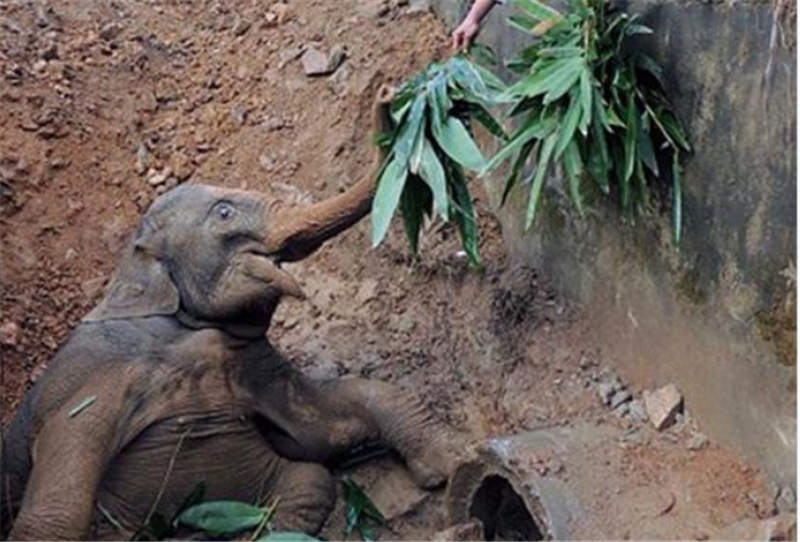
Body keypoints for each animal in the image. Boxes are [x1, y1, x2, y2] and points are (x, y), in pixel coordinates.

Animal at [0, 87, 454, 540]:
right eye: (224, 212)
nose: (390, 94)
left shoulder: (255, 366)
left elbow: (327, 425)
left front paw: (448, 469)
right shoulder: (98, 381)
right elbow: (61, 499)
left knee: (309, 480)